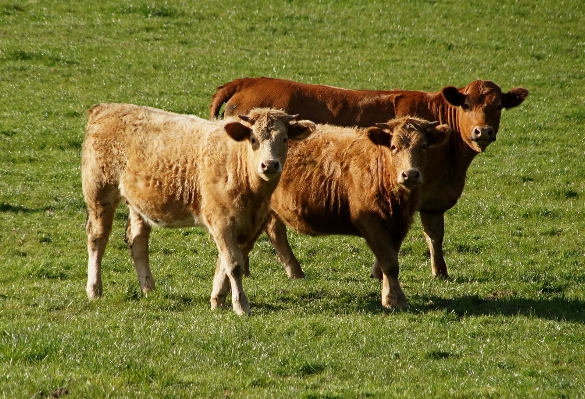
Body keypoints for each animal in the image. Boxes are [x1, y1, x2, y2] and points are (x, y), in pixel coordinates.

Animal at [82, 104, 314, 318]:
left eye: (284, 139)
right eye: (253, 139)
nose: (270, 164)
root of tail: (106, 108)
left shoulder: (247, 226)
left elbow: (225, 264)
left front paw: (218, 300)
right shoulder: (221, 221)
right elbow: (234, 265)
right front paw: (241, 305)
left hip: (138, 204)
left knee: (137, 241)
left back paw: (149, 288)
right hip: (100, 192)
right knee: (97, 238)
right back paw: (94, 289)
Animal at [246, 117, 448, 310]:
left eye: (423, 146)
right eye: (393, 146)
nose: (410, 174)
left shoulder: (398, 225)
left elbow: (389, 262)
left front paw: (390, 297)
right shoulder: (372, 223)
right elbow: (389, 264)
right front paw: (394, 301)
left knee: (273, 231)